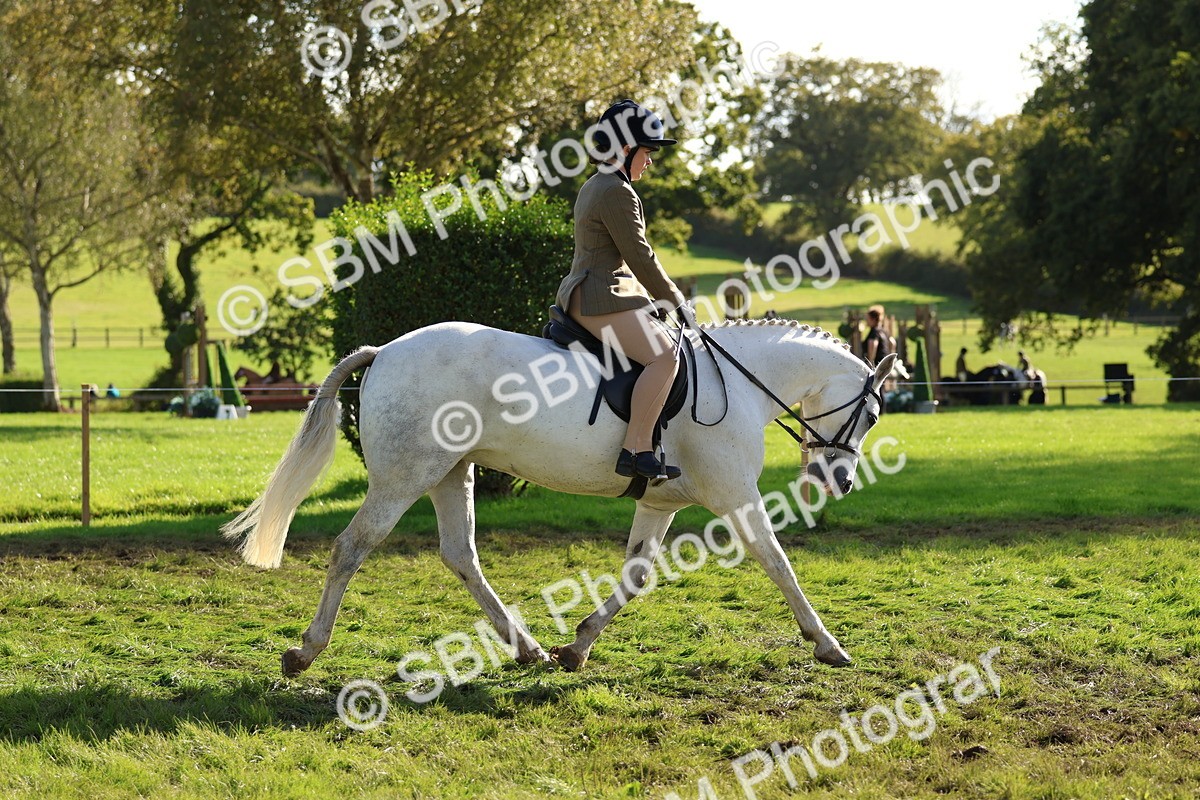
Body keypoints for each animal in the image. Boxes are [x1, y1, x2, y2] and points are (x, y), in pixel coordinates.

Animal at [222, 318, 897, 677]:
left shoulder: (660, 503)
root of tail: (384, 349)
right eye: (871, 413)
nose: (840, 481)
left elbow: (635, 576)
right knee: (351, 548)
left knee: (460, 555)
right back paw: (305, 652)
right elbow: (779, 564)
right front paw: (828, 644)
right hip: (404, 477)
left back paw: (528, 649)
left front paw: (577, 646)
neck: (739, 383)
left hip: (450, 472)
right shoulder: (735, 496)